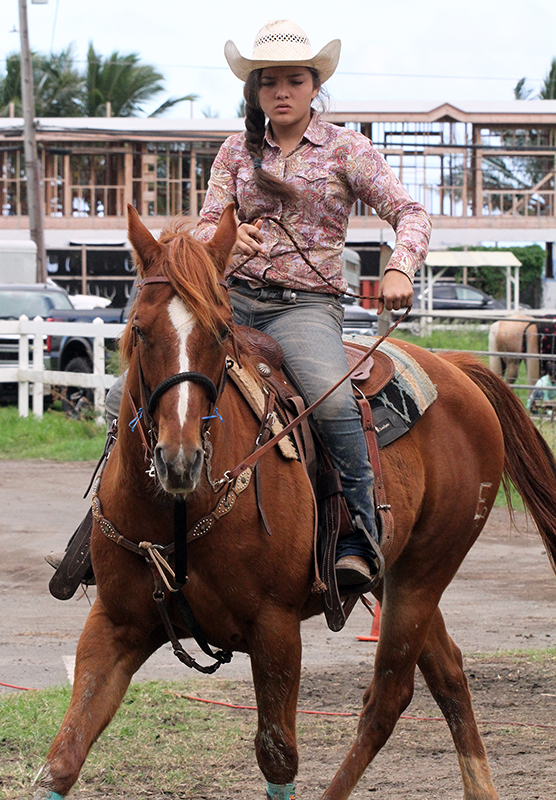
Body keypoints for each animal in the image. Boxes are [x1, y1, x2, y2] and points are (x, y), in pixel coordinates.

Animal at [32, 206, 556, 800]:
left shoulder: (276, 631)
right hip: (395, 575)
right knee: (447, 675)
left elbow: (278, 756)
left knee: (388, 695)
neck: (179, 514)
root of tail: (458, 368)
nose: (180, 460)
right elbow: (64, 757)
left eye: (220, 332)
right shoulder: (114, 625)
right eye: (139, 329)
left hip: (424, 573)